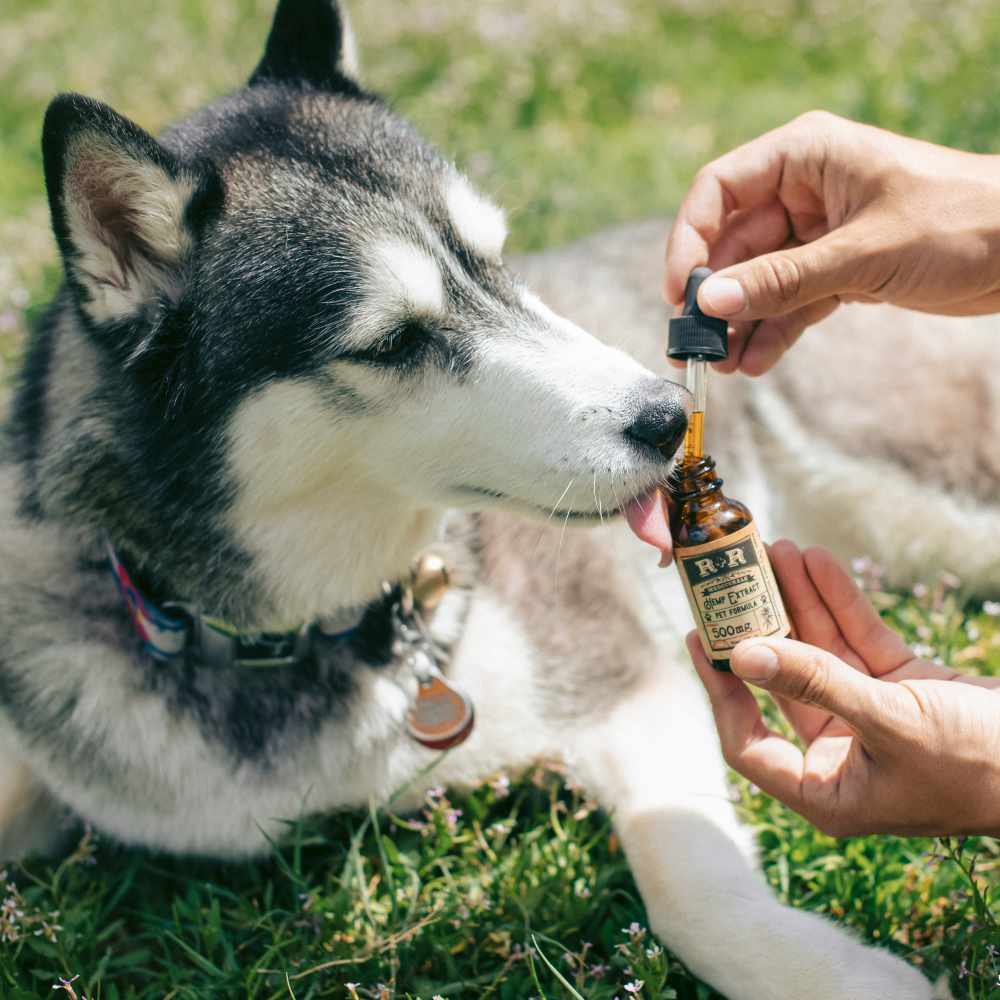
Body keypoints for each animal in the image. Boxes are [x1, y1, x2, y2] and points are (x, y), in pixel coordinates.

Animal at [3, 3, 992, 996]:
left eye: (498, 259)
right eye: (393, 342)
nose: (667, 417)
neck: (316, 637)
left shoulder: (624, 675)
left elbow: (688, 887)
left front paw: (837, 977)